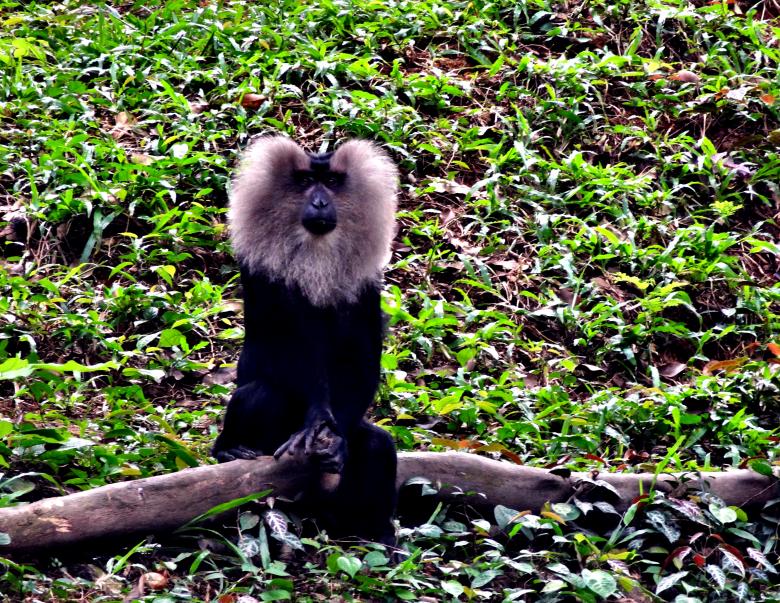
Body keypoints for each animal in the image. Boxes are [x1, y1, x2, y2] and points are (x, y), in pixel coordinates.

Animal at [212, 136, 399, 546]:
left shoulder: (367, 286)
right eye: (303, 182)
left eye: (329, 182)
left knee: (377, 446)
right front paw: (316, 419)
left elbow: (360, 356)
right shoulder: (262, 273)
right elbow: (284, 344)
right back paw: (229, 448)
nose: (319, 203)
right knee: (263, 393)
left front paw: (336, 437)